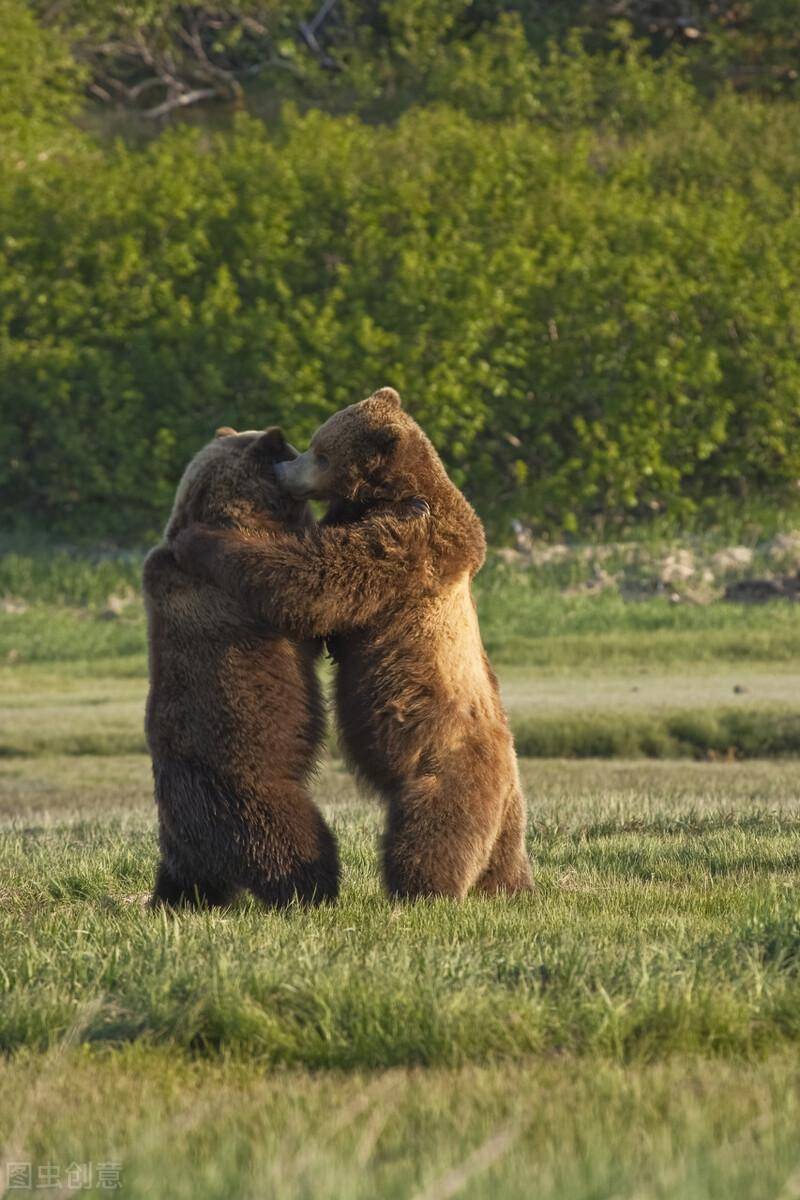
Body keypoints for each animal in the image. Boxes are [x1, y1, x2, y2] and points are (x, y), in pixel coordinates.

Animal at [143, 427, 338, 902]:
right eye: (293, 453)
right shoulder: (243, 583)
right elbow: (299, 594)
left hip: (185, 842)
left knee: (185, 878)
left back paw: (171, 900)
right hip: (248, 798)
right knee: (291, 841)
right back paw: (315, 891)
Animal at [176, 391, 537, 902]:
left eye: (320, 452)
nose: (284, 467)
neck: (385, 494)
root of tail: (507, 768)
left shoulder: (411, 544)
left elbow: (319, 580)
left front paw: (204, 540)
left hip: (445, 765)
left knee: (434, 833)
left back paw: (420, 890)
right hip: (506, 813)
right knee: (502, 851)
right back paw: (511, 886)